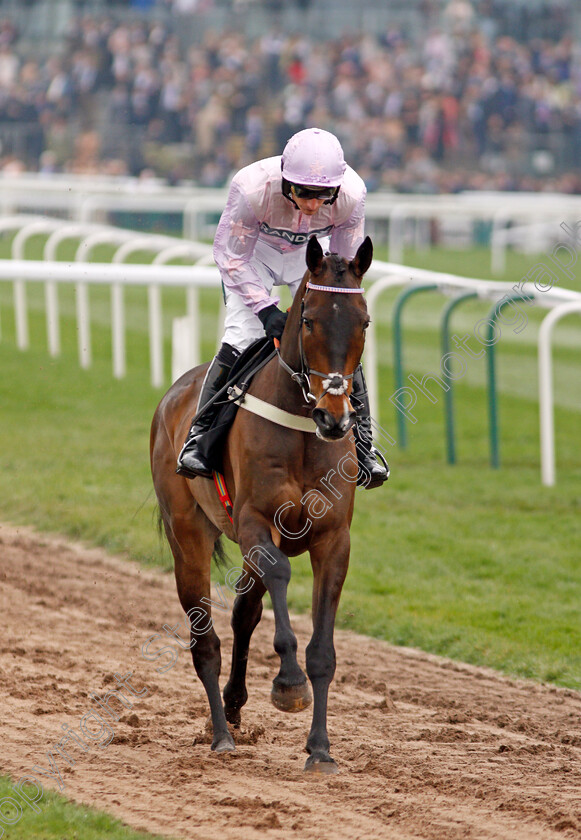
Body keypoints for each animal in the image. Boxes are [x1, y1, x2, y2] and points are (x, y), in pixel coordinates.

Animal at [151, 236, 372, 776]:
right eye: (308, 319)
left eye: (364, 322)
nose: (335, 419)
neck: (303, 430)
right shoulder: (256, 523)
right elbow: (280, 578)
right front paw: (288, 685)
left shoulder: (334, 538)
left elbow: (323, 650)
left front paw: (320, 748)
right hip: (187, 535)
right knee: (205, 638)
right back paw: (220, 734)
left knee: (242, 615)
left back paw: (234, 706)